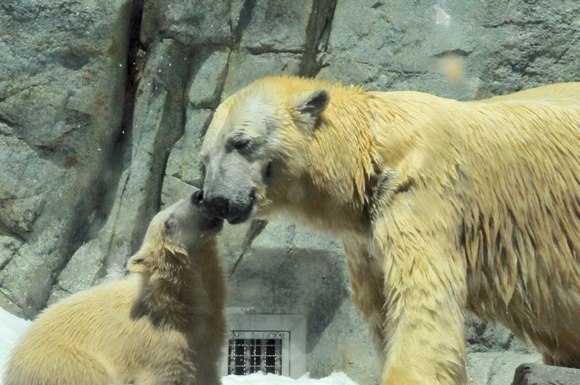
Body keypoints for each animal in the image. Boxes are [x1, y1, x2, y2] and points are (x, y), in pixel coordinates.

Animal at [199, 76, 580, 384]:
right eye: (205, 158)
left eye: (240, 142)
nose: (216, 200)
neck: (372, 150)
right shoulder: (366, 234)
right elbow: (380, 304)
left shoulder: (419, 190)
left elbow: (422, 293)